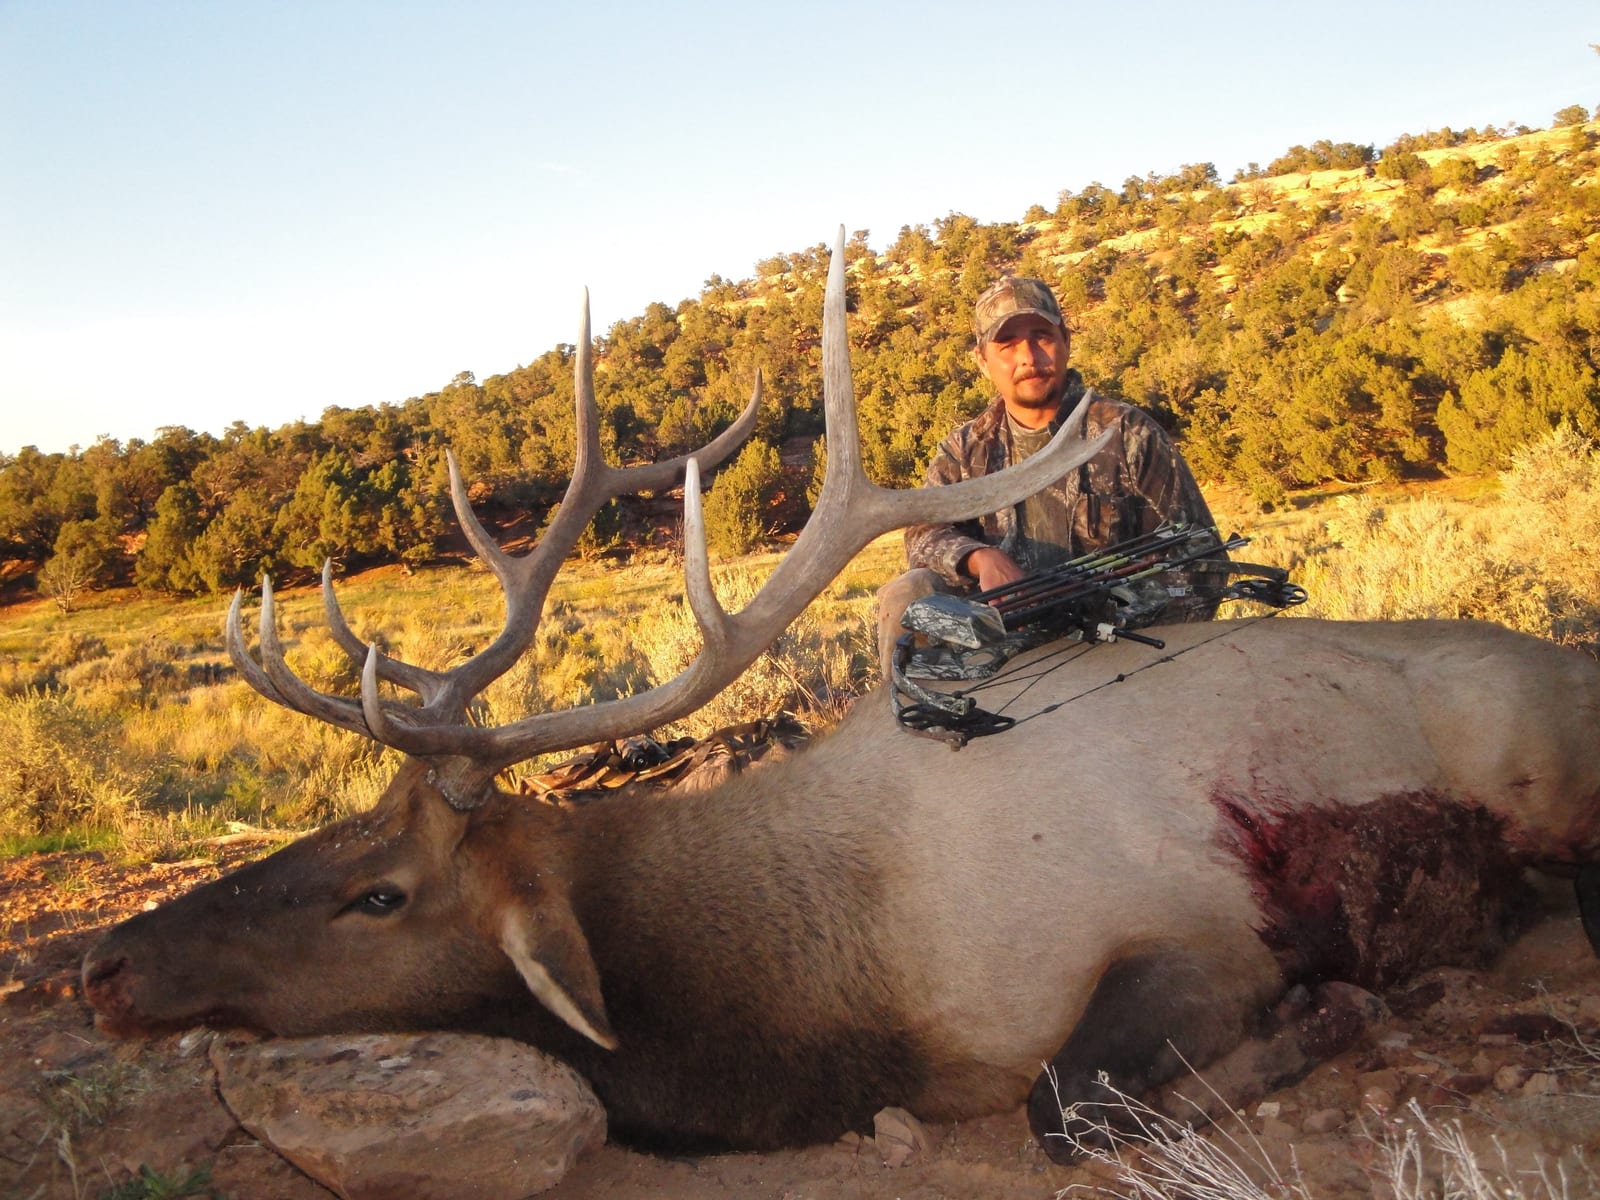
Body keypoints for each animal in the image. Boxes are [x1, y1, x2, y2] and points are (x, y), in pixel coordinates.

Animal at [82, 229, 1600, 1162]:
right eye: (334, 834)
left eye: (379, 893)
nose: (100, 965)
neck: (834, 987)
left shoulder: (1194, 929)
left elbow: (1070, 1110)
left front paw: (1336, 1013)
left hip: (1534, 761)